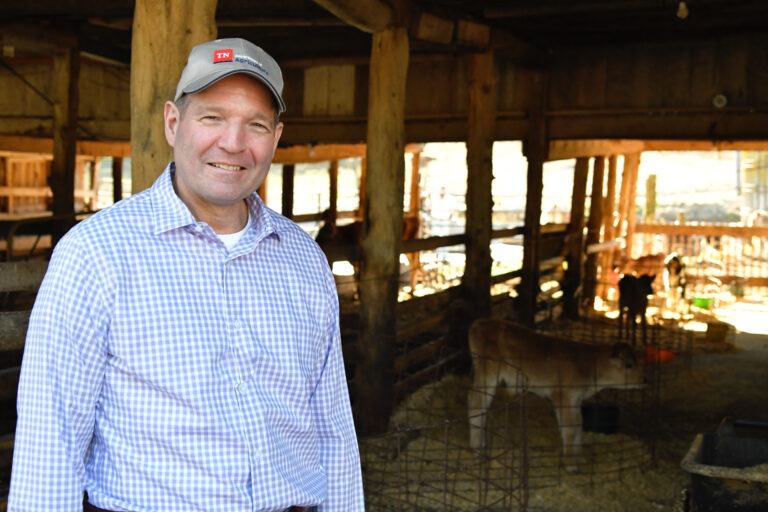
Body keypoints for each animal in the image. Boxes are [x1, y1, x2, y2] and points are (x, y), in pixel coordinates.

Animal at [464, 318, 644, 474]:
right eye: (629, 365)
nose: (644, 380)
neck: (587, 366)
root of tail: (480, 322)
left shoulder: (576, 398)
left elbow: (578, 424)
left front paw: (579, 458)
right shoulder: (563, 395)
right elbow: (569, 428)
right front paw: (570, 465)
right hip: (488, 371)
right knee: (476, 401)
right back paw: (477, 447)